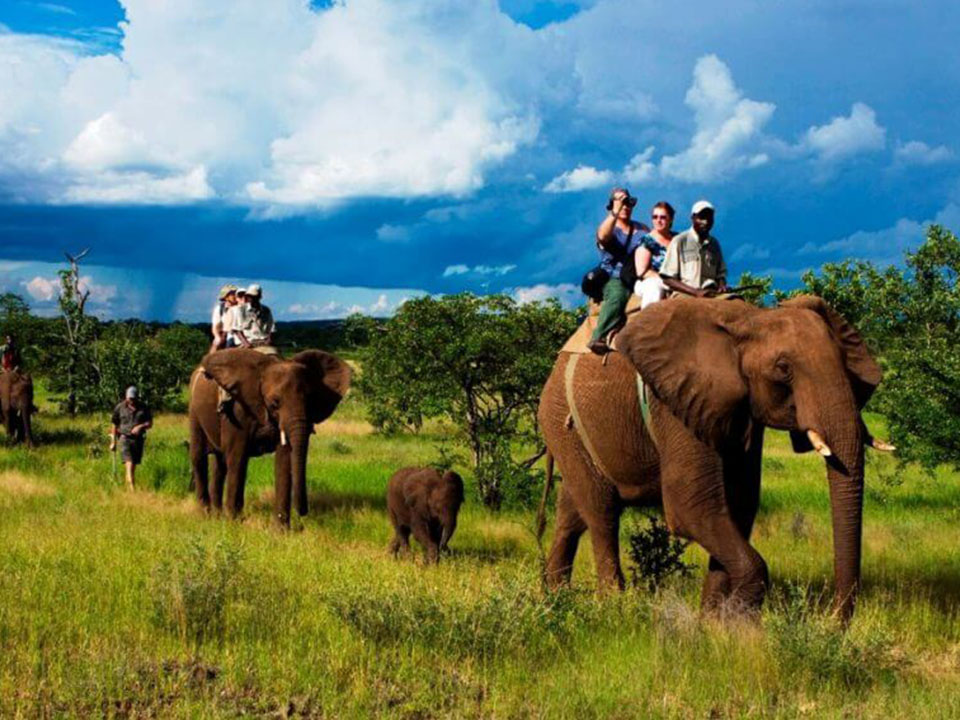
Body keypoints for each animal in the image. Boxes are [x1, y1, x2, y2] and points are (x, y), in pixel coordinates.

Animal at [189, 346, 350, 524]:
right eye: (275, 403)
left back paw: (217, 516)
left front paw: (281, 529)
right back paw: (205, 514)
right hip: (194, 411)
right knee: (199, 458)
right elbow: (237, 458)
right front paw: (234, 524)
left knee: (220, 464)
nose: (302, 513)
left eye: (310, 401)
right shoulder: (238, 412)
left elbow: (284, 460)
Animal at [536, 296, 888, 620]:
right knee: (602, 514)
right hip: (560, 422)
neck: (750, 320)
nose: (833, 623)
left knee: (572, 513)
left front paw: (712, 623)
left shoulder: (739, 411)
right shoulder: (676, 400)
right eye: (783, 369)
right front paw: (737, 624)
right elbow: (691, 506)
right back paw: (612, 606)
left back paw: (556, 597)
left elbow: (739, 504)